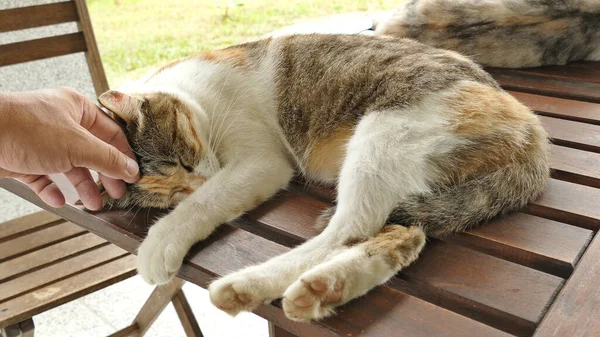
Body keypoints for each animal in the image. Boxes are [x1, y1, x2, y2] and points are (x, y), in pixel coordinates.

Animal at [98, 33, 548, 320]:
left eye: (183, 160)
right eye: (172, 190)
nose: (198, 180)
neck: (197, 98)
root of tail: (532, 131)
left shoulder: (259, 161)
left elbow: (203, 204)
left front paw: (159, 244)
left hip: (384, 134)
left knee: (347, 230)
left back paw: (248, 285)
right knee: (402, 233)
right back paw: (322, 290)